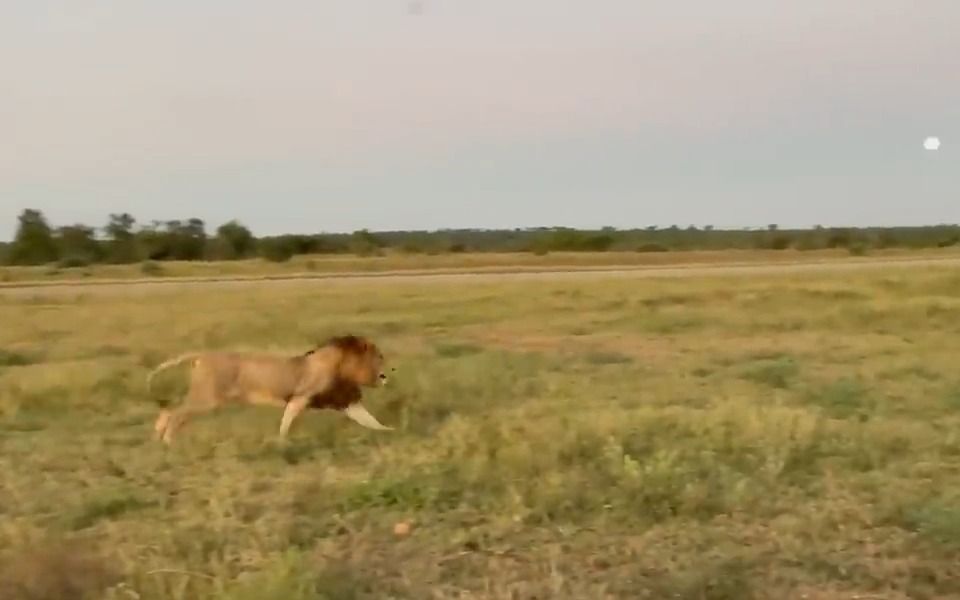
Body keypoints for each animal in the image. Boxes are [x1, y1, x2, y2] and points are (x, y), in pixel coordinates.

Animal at [147, 332, 394, 446]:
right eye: (378, 357)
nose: (386, 374)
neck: (340, 368)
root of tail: (201, 356)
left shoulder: (346, 401)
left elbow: (371, 421)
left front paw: (393, 432)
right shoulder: (299, 398)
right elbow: (287, 422)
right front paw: (282, 442)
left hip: (204, 398)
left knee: (170, 410)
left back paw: (159, 435)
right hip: (208, 399)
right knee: (176, 413)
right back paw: (167, 440)